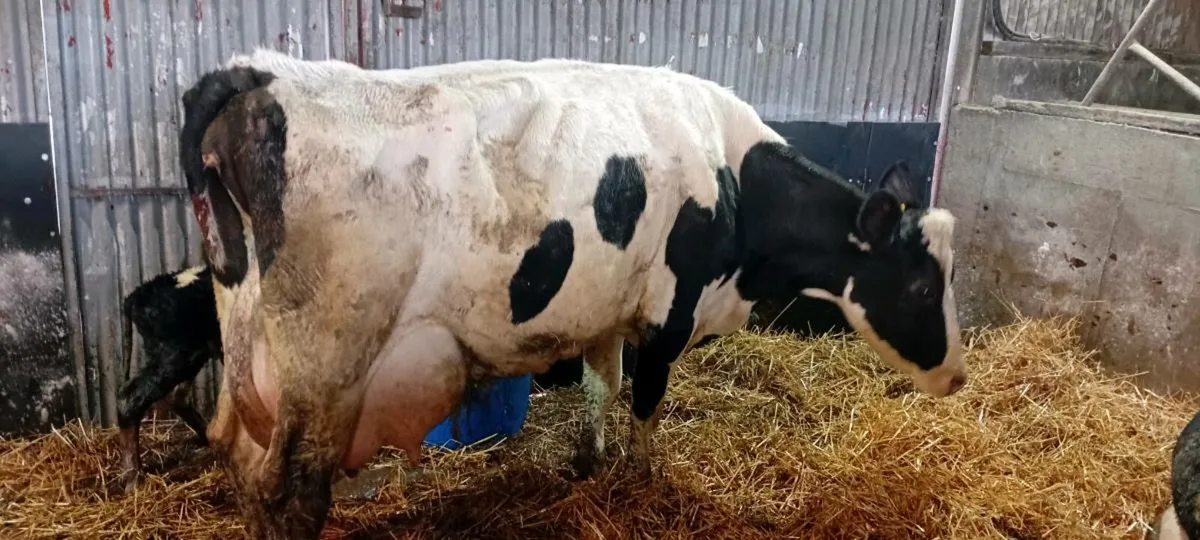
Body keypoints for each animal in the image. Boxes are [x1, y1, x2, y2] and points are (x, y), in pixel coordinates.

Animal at [115, 265, 222, 491]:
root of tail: (138, 294)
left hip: (192, 352)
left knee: (176, 395)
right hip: (173, 352)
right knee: (129, 398)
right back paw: (134, 480)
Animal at [179, 49, 965, 538]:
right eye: (923, 281)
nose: (958, 376)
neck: (733, 176)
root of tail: (259, 75)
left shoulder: (605, 311)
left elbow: (600, 387)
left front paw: (589, 463)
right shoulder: (668, 314)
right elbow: (645, 402)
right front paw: (643, 480)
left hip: (250, 356)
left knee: (236, 457)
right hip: (327, 368)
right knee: (290, 493)